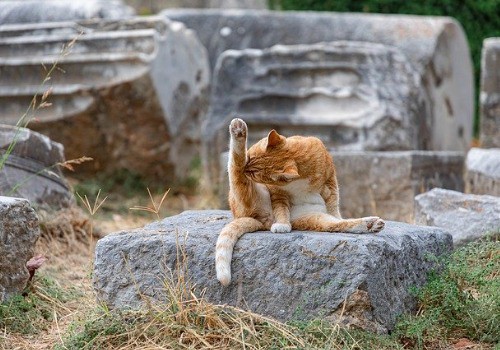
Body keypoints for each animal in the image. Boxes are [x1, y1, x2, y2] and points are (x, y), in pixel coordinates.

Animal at [217, 119, 384, 286]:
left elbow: (333, 204)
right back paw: (238, 131)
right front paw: (282, 225)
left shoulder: (331, 182)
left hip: (315, 218)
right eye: (250, 156)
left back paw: (370, 224)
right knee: (236, 167)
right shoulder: (278, 193)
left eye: (254, 173)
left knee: (338, 224)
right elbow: (281, 209)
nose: (246, 169)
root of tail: (262, 221)